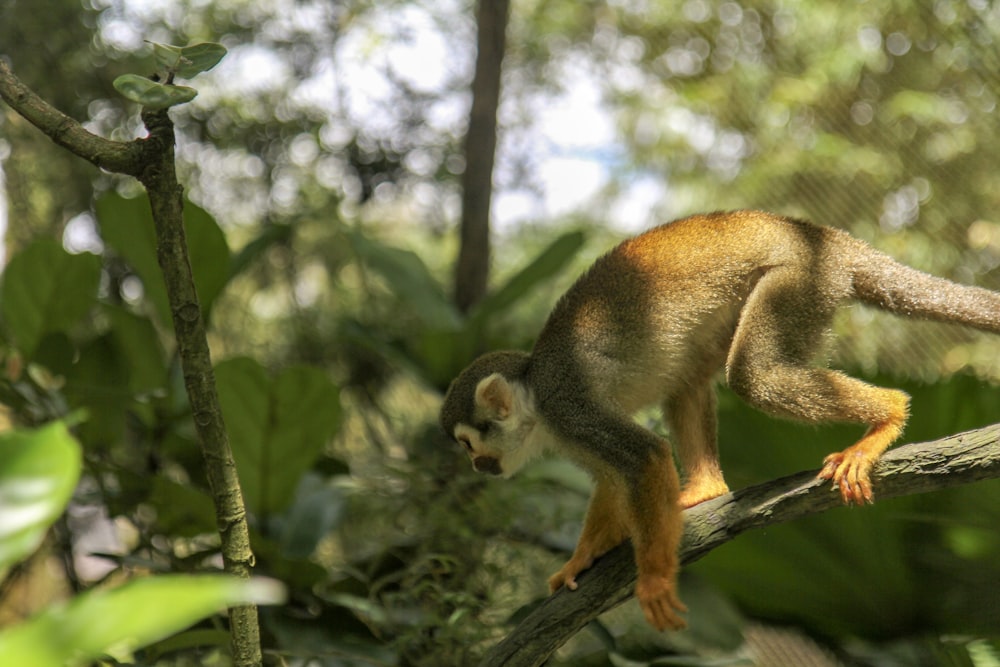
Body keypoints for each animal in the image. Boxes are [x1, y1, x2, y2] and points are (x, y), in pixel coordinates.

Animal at [438, 211, 1000, 636]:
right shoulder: (566, 431)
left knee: (755, 376)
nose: (479, 466)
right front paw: (584, 557)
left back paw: (888, 414)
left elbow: (642, 457)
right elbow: (611, 479)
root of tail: (829, 239)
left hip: (799, 280)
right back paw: (706, 488)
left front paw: (655, 579)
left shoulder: (568, 405)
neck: (535, 396)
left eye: (468, 442)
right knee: (688, 377)